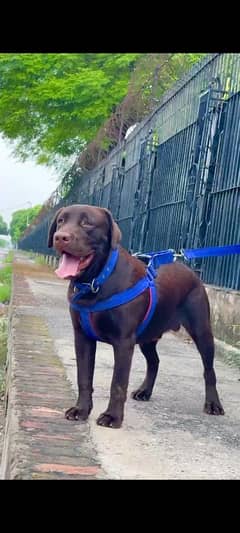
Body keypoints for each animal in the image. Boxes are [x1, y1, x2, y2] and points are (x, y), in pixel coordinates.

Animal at [47, 204, 224, 428]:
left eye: (87, 223)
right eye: (61, 221)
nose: (60, 237)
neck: (97, 281)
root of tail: (191, 270)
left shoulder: (124, 342)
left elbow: (118, 383)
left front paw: (112, 416)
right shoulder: (82, 337)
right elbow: (84, 377)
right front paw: (81, 409)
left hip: (201, 332)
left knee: (209, 371)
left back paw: (213, 404)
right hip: (148, 336)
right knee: (155, 362)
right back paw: (144, 391)